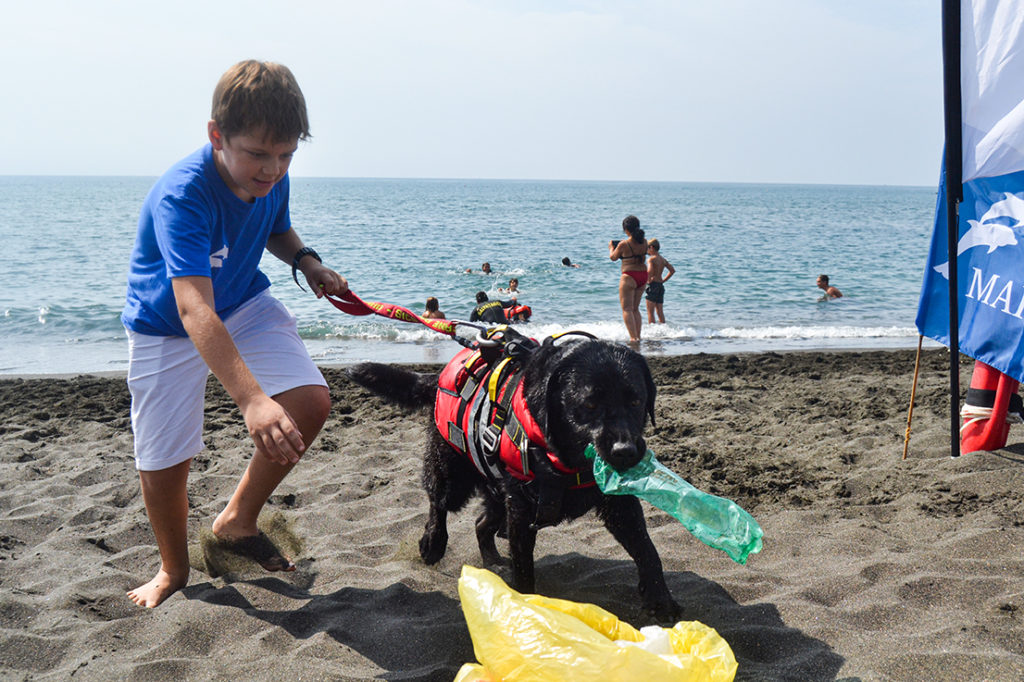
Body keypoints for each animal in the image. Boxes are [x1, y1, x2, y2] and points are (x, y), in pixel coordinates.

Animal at [348, 330, 680, 620]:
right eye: (589, 403)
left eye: (636, 401)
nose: (626, 451)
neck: (565, 461)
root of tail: (439, 377)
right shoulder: (521, 511)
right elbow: (524, 568)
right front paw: (527, 605)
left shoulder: (619, 504)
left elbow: (647, 549)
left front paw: (660, 599)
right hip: (453, 474)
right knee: (438, 502)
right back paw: (433, 542)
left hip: (497, 491)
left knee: (482, 523)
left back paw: (493, 562)